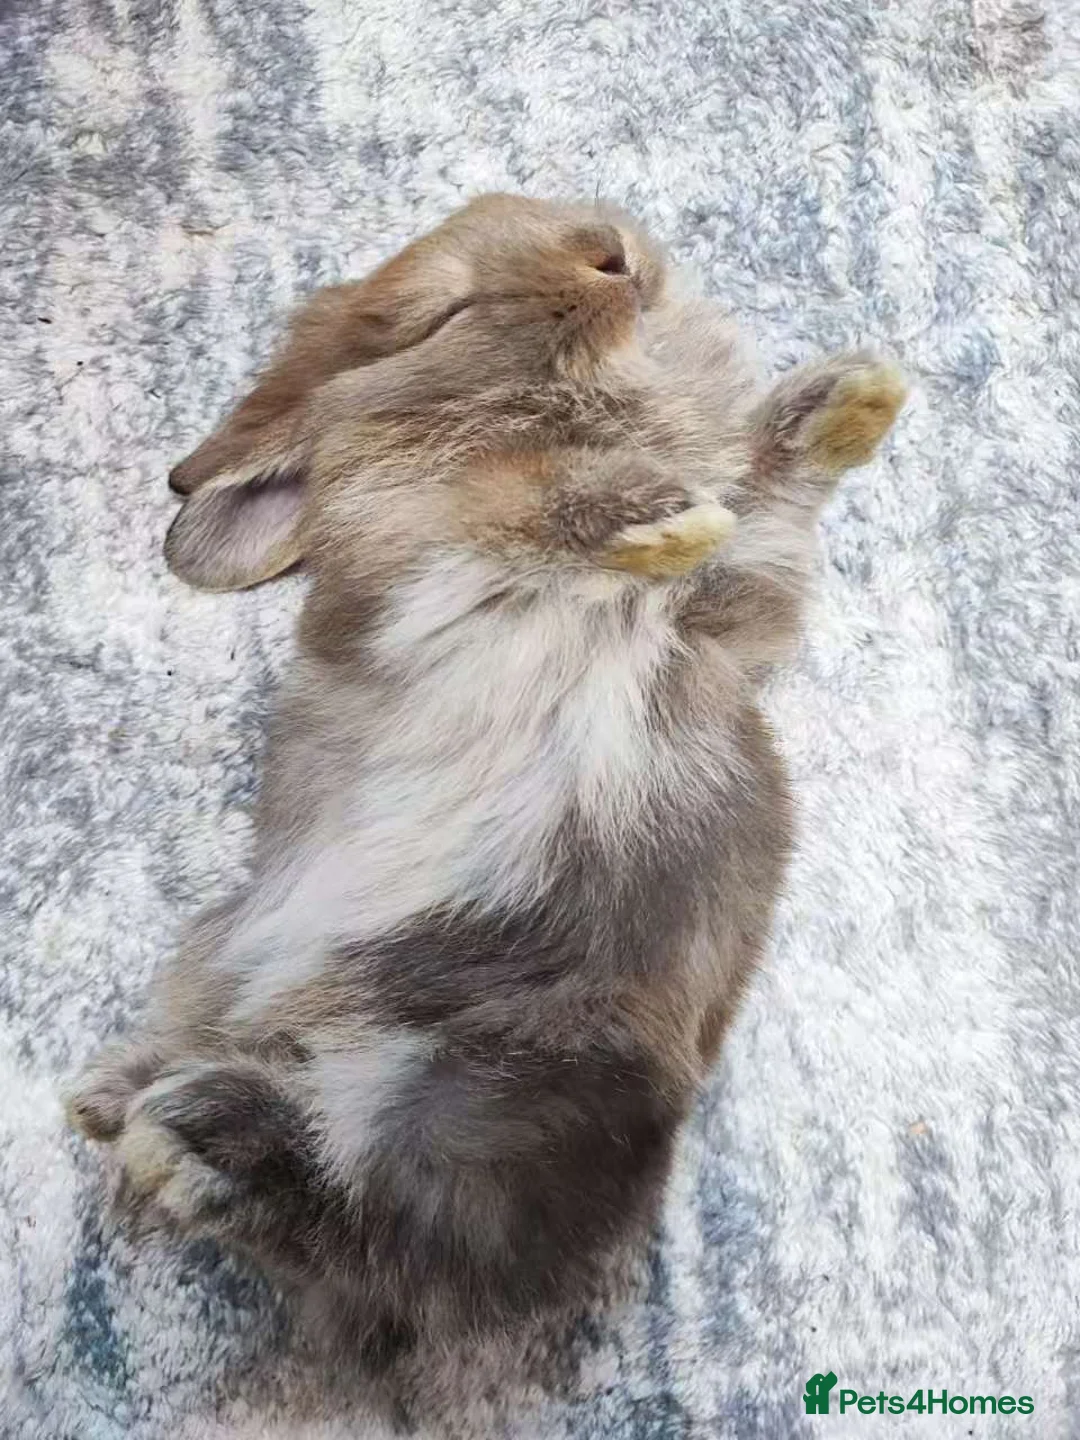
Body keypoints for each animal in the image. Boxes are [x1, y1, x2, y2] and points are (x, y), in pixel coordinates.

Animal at [67, 194, 906, 1359]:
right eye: (444, 310)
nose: (610, 253)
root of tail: (298, 1047)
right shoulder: (412, 562)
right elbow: (510, 517)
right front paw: (657, 516)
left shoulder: (723, 618)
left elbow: (763, 506)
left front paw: (854, 396)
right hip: (527, 1108)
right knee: (401, 1230)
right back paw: (181, 1133)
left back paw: (139, 1106)